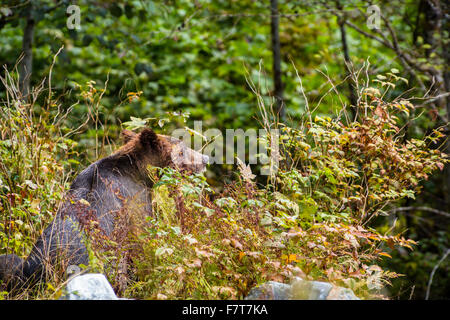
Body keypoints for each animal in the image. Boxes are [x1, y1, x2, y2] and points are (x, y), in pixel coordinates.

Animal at [0, 127, 207, 290]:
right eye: (183, 149)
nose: (205, 158)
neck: (138, 172)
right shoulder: (135, 203)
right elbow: (143, 243)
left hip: (20, 265)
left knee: (9, 259)